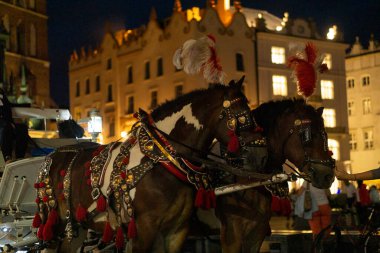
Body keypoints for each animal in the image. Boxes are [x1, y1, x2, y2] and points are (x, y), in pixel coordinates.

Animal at [34, 78, 268, 252]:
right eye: (241, 117)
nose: (262, 155)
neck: (163, 159)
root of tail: (53, 155)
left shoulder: (176, 231)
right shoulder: (143, 229)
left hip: (75, 227)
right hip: (53, 225)